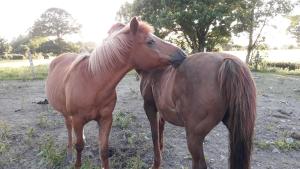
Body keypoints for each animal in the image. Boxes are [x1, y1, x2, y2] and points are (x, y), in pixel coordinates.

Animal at [45, 16, 186, 168]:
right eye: (150, 41)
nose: (182, 54)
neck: (92, 81)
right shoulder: (78, 119)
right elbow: (79, 146)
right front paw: (77, 163)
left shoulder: (106, 119)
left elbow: (104, 150)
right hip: (66, 114)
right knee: (68, 127)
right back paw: (69, 151)